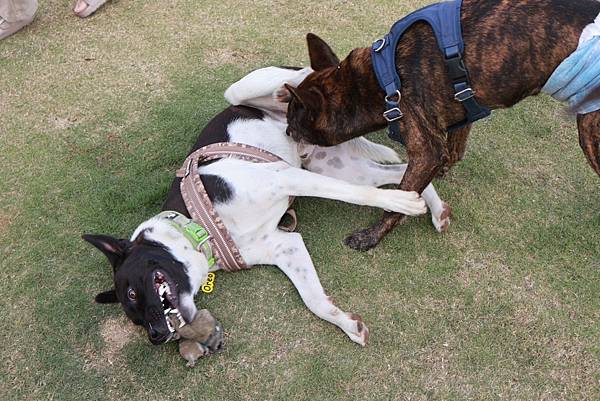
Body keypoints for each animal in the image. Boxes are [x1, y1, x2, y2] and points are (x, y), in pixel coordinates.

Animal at [82, 66, 450, 362]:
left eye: (133, 292)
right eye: (136, 319)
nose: (157, 337)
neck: (201, 229)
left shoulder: (283, 177)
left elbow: (357, 196)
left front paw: (401, 204)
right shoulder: (285, 246)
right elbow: (315, 301)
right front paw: (348, 325)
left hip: (250, 94)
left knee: (293, 76)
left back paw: (292, 87)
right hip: (337, 167)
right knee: (401, 170)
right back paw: (435, 208)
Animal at [282, 0, 600, 250]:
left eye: (293, 121)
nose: (285, 131)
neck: (376, 81)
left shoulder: (425, 148)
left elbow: (397, 201)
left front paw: (370, 237)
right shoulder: (460, 116)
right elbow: (453, 151)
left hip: (589, 129)